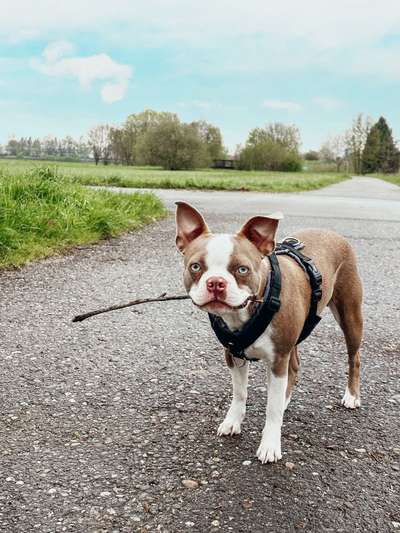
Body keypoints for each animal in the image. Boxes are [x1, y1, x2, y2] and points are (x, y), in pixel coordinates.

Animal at [175, 202, 362, 464]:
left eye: (242, 269)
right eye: (195, 267)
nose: (216, 283)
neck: (248, 310)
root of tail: (331, 232)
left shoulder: (277, 359)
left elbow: (271, 410)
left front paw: (270, 445)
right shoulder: (233, 355)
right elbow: (240, 393)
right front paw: (233, 421)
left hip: (350, 315)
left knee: (354, 357)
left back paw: (352, 396)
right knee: (294, 367)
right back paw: (286, 398)